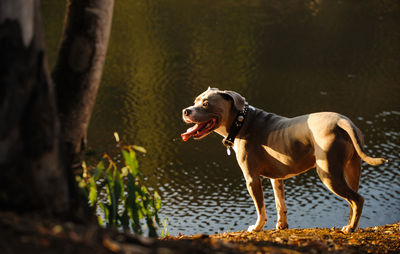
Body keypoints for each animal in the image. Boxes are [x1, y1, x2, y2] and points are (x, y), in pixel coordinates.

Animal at [182, 87, 388, 232]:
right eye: (195, 101)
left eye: (206, 103)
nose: (185, 111)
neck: (241, 121)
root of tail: (342, 121)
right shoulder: (276, 177)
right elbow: (280, 204)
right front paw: (281, 226)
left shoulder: (252, 179)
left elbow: (261, 208)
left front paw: (256, 228)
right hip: (352, 169)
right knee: (353, 201)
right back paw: (351, 226)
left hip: (329, 173)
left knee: (357, 199)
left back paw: (350, 228)